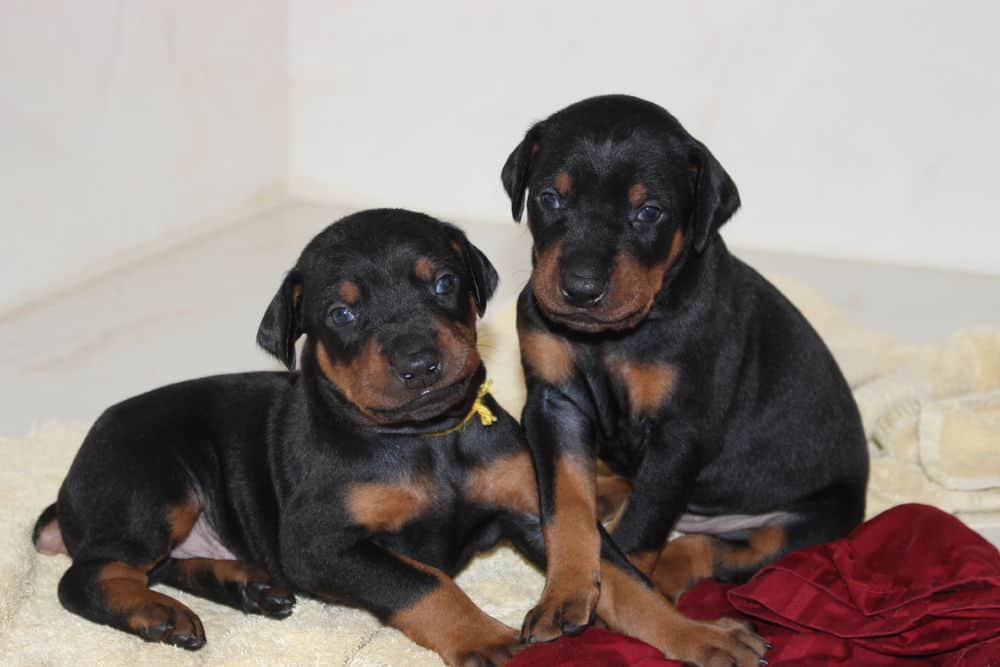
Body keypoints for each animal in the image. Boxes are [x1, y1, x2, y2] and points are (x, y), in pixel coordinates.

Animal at [29, 210, 764, 667]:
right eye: (341, 312)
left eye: (443, 281)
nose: (419, 362)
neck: (428, 439)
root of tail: (70, 485)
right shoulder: (322, 543)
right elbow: (422, 584)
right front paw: (487, 637)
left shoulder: (532, 505)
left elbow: (620, 578)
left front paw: (698, 634)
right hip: (155, 485)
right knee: (85, 576)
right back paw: (156, 614)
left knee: (165, 562)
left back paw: (248, 587)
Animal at [500, 96, 868, 644]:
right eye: (549, 198)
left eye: (649, 212)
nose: (581, 289)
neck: (610, 339)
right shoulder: (554, 405)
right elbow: (566, 508)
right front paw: (564, 595)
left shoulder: (681, 433)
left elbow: (639, 536)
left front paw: (626, 609)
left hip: (804, 523)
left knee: (706, 548)